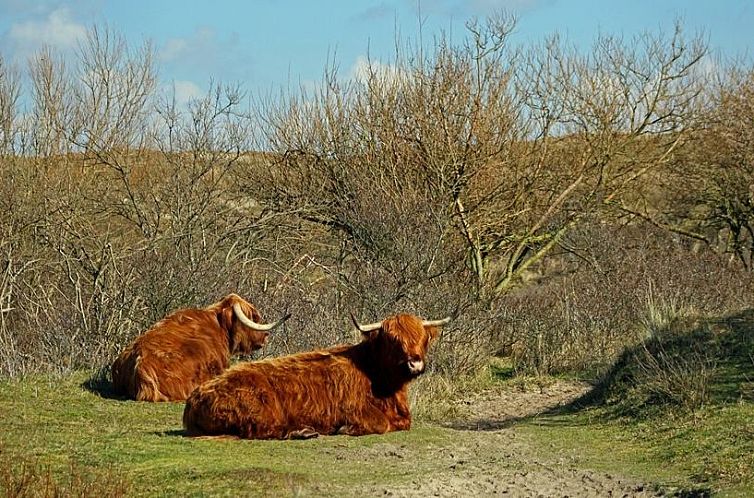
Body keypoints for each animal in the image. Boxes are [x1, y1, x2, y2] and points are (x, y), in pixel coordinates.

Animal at [181, 314, 446, 438]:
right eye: (393, 339)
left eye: (421, 337)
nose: (415, 362)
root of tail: (194, 397)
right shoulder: (354, 409)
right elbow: (381, 423)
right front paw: (346, 429)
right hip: (263, 411)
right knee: (263, 431)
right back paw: (304, 432)